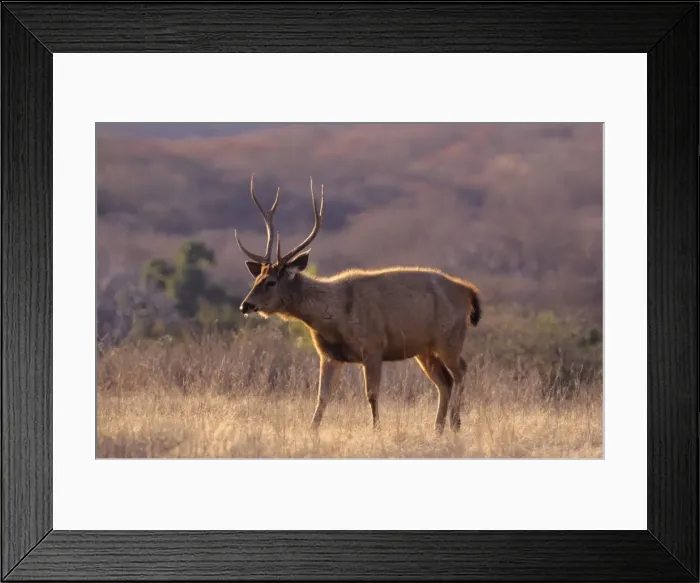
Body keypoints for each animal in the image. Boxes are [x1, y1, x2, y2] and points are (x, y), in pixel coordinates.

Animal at [235, 175, 481, 434]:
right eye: (257, 278)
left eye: (271, 282)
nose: (245, 305)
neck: (335, 318)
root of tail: (467, 290)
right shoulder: (329, 355)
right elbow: (322, 397)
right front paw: (311, 431)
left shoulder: (373, 346)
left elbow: (371, 394)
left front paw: (376, 430)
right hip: (424, 349)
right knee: (445, 381)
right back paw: (438, 428)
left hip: (449, 338)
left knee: (461, 371)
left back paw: (455, 424)